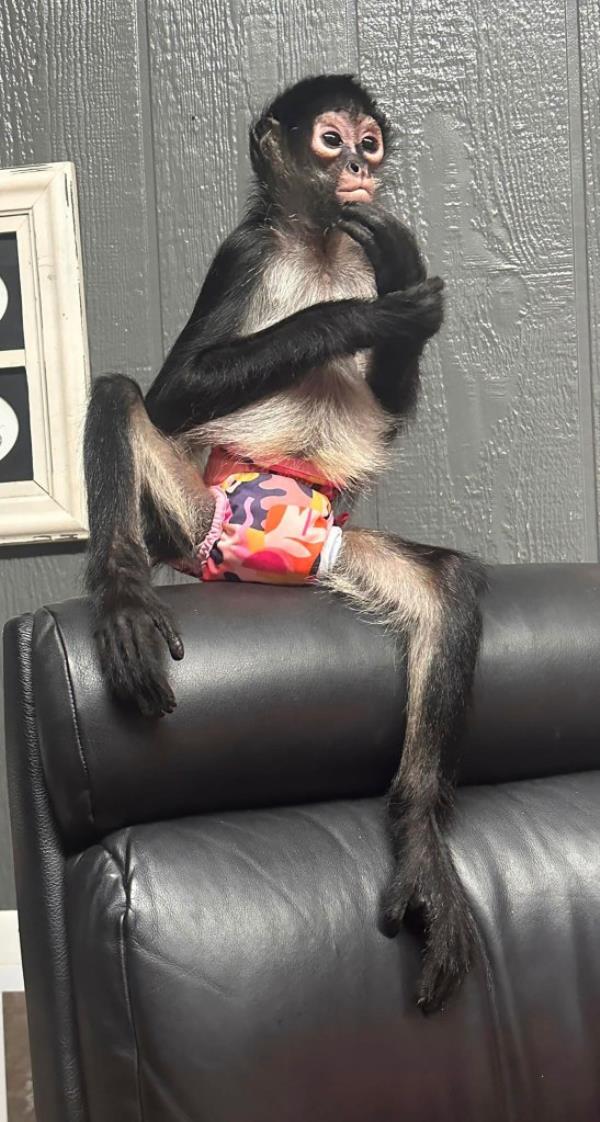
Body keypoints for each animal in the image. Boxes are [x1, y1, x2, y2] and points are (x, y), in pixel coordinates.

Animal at [84, 74, 486, 1012]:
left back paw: (420, 845)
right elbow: (172, 391)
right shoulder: (244, 250)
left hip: (332, 550)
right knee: (120, 393)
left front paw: (402, 286)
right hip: (191, 525)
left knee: (448, 585)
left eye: (370, 144)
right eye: (332, 141)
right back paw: (121, 593)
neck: (317, 239)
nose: (360, 171)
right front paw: (371, 308)